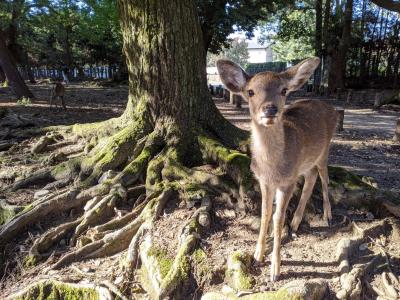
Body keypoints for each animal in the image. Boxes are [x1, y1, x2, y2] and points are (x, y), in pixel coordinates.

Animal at [219, 56, 338, 282]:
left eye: (283, 90)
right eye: (250, 91)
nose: (270, 109)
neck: (271, 168)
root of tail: (331, 108)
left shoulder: (287, 181)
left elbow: (277, 216)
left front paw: (275, 269)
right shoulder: (264, 181)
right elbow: (265, 212)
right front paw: (258, 254)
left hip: (325, 151)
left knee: (324, 179)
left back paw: (327, 216)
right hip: (305, 163)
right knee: (311, 178)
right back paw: (295, 223)